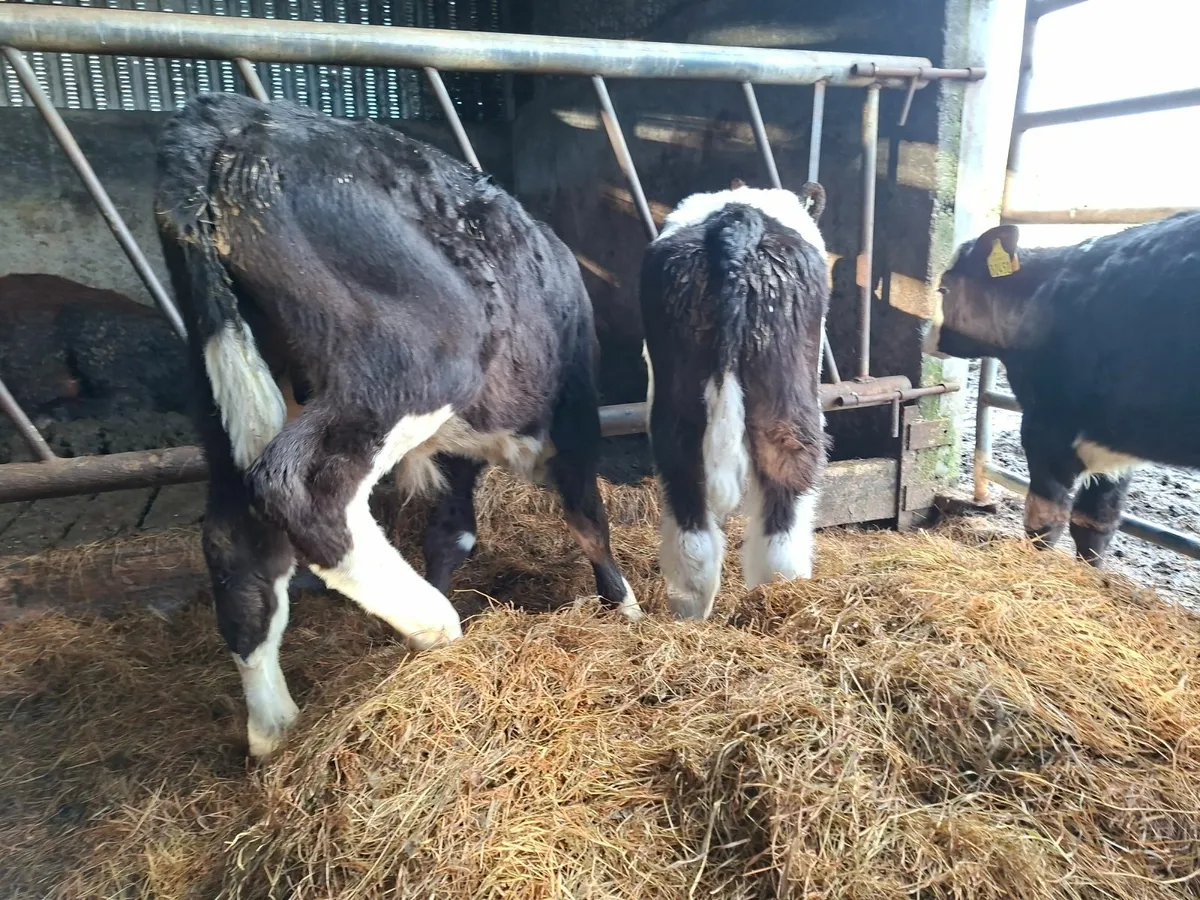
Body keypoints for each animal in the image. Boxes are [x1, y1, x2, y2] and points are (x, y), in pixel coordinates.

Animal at [154, 93, 642, 758]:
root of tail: (227, 113)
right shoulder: (572, 424)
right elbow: (590, 519)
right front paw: (629, 610)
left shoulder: (460, 453)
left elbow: (452, 531)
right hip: (418, 361)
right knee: (301, 488)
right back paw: (433, 621)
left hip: (220, 381)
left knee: (235, 541)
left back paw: (274, 726)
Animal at [639, 180, 831, 619]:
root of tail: (737, 221)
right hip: (788, 405)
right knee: (785, 494)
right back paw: (781, 594)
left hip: (679, 407)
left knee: (688, 509)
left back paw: (691, 610)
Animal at [923, 213, 1200, 566]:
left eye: (944, 288)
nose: (927, 338)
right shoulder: (1115, 440)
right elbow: (1095, 523)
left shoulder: (1046, 426)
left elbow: (1045, 520)